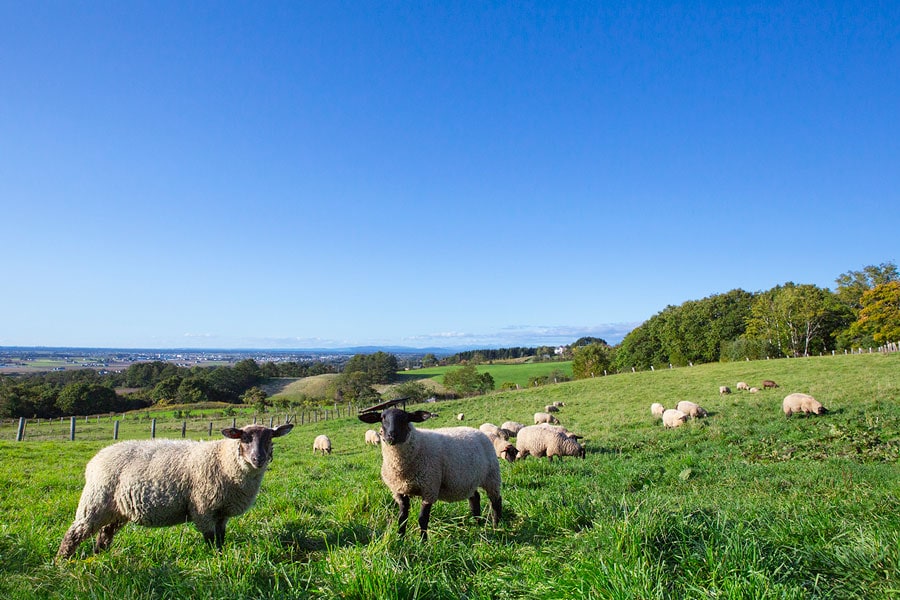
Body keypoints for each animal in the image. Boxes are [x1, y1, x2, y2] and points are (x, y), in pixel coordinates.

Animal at [56, 422, 294, 556]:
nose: (259, 459)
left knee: (104, 535)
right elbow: (210, 539)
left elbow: (221, 538)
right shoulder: (203, 508)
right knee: (73, 534)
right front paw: (214, 560)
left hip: (117, 510)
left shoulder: (221, 512)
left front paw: (221, 555)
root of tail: (95, 459)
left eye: (270, 438)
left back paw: (98, 557)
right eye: (244, 438)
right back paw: (62, 562)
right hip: (95, 503)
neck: (223, 460)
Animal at [356, 408, 500, 540]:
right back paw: (478, 522)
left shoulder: (429, 488)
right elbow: (402, 518)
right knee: (475, 497)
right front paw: (400, 539)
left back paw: (496, 526)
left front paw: (423, 542)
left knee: (495, 501)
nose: (391, 436)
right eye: (382, 418)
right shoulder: (399, 491)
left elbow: (422, 519)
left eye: (405, 419)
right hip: (468, 479)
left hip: (492, 476)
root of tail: (477, 431)